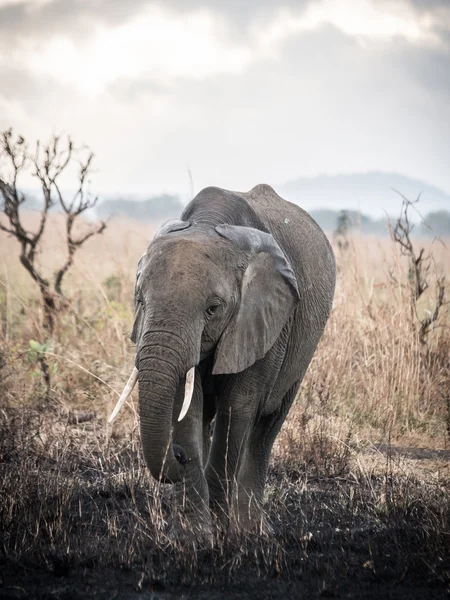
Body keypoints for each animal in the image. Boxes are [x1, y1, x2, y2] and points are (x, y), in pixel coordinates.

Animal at [110, 183, 334, 536]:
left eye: (213, 309)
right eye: (140, 300)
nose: (177, 455)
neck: (207, 224)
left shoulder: (265, 321)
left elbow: (237, 409)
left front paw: (223, 534)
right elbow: (187, 408)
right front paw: (195, 537)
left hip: (304, 345)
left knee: (266, 429)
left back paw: (252, 531)